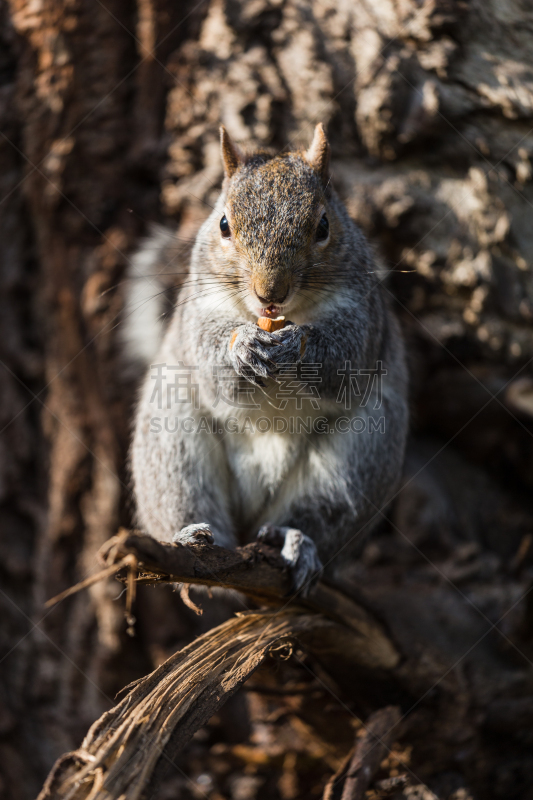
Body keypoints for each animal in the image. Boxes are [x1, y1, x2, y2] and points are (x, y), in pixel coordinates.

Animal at [129, 125, 408, 592]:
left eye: (324, 225)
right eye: (223, 224)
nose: (269, 293)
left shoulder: (365, 315)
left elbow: (346, 359)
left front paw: (299, 345)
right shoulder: (196, 310)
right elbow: (210, 355)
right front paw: (242, 346)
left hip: (358, 459)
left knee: (315, 515)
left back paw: (294, 541)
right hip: (172, 448)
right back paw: (189, 540)